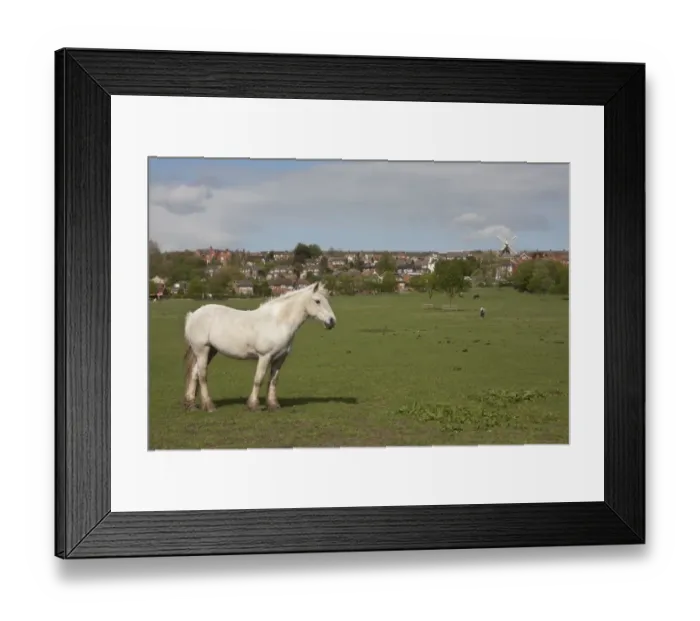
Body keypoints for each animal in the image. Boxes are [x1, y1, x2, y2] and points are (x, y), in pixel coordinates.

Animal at [182, 281, 337, 413]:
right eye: (317, 301)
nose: (332, 322)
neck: (278, 322)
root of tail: (193, 315)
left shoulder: (280, 358)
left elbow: (273, 380)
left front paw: (273, 405)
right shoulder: (264, 356)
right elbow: (259, 379)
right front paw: (253, 405)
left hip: (210, 351)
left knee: (195, 374)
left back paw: (191, 405)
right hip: (202, 350)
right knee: (202, 376)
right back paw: (209, 406)